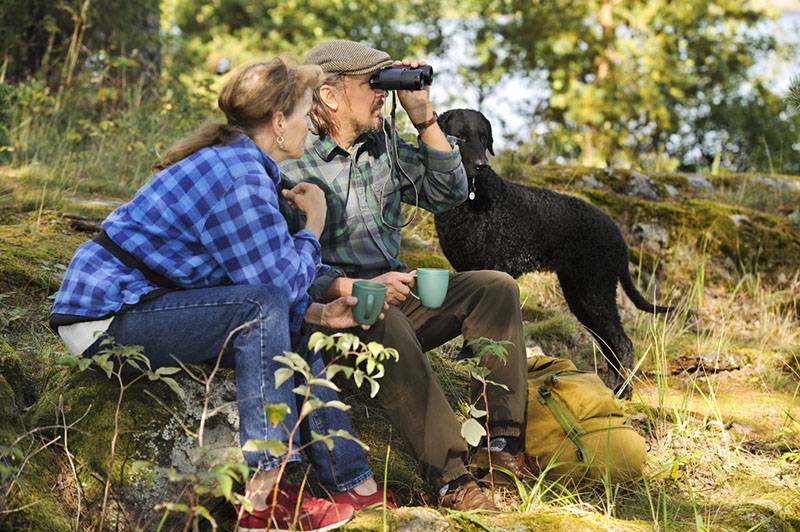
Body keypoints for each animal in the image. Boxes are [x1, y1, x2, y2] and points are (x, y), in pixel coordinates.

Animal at [434, 109, 672, 400]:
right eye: (462, 137)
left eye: (483, 138)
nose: (482, 165)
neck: (471, 200)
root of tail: (617, 234)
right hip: (579, 296)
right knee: (609, 345)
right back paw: (612, 388)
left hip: (596, 290)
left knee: (622, 343)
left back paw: (623, 391)